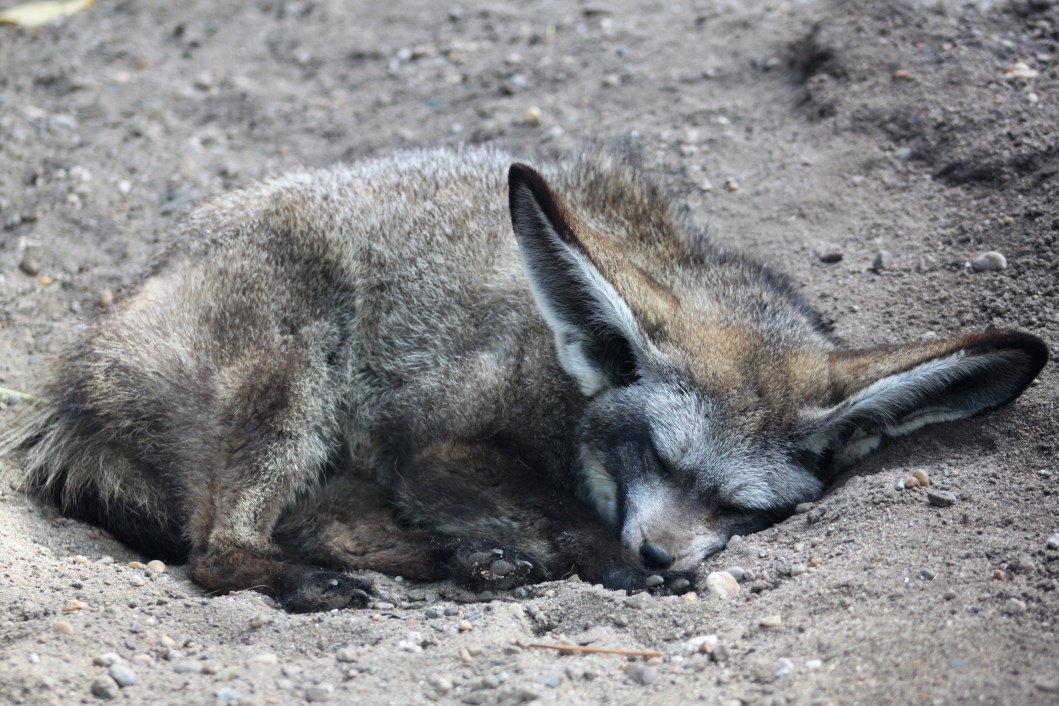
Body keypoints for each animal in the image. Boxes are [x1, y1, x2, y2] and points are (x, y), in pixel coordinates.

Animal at [1, 145, 1047, 612]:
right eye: (653, 456)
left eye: (745, 508)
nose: (661, 555)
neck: (560, 381)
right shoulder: (429, 441)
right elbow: (568, 515)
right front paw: (608, 559)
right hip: (293, 388)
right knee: (215, 550)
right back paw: (328, 578)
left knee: (318, 528)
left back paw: (464, 560)